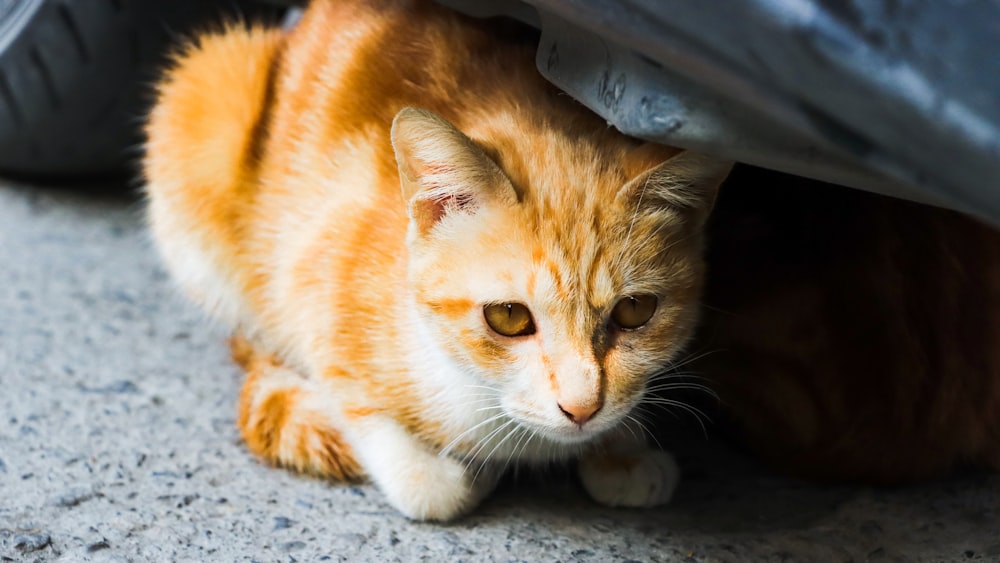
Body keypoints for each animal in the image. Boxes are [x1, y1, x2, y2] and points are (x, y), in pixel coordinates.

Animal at [143, 0, 728, 520]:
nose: (582, 409)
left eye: (635, 311)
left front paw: (623, 450)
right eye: (508, 317)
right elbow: (401, 457)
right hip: (206, 104)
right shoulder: (313, 280)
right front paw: (449, 473)